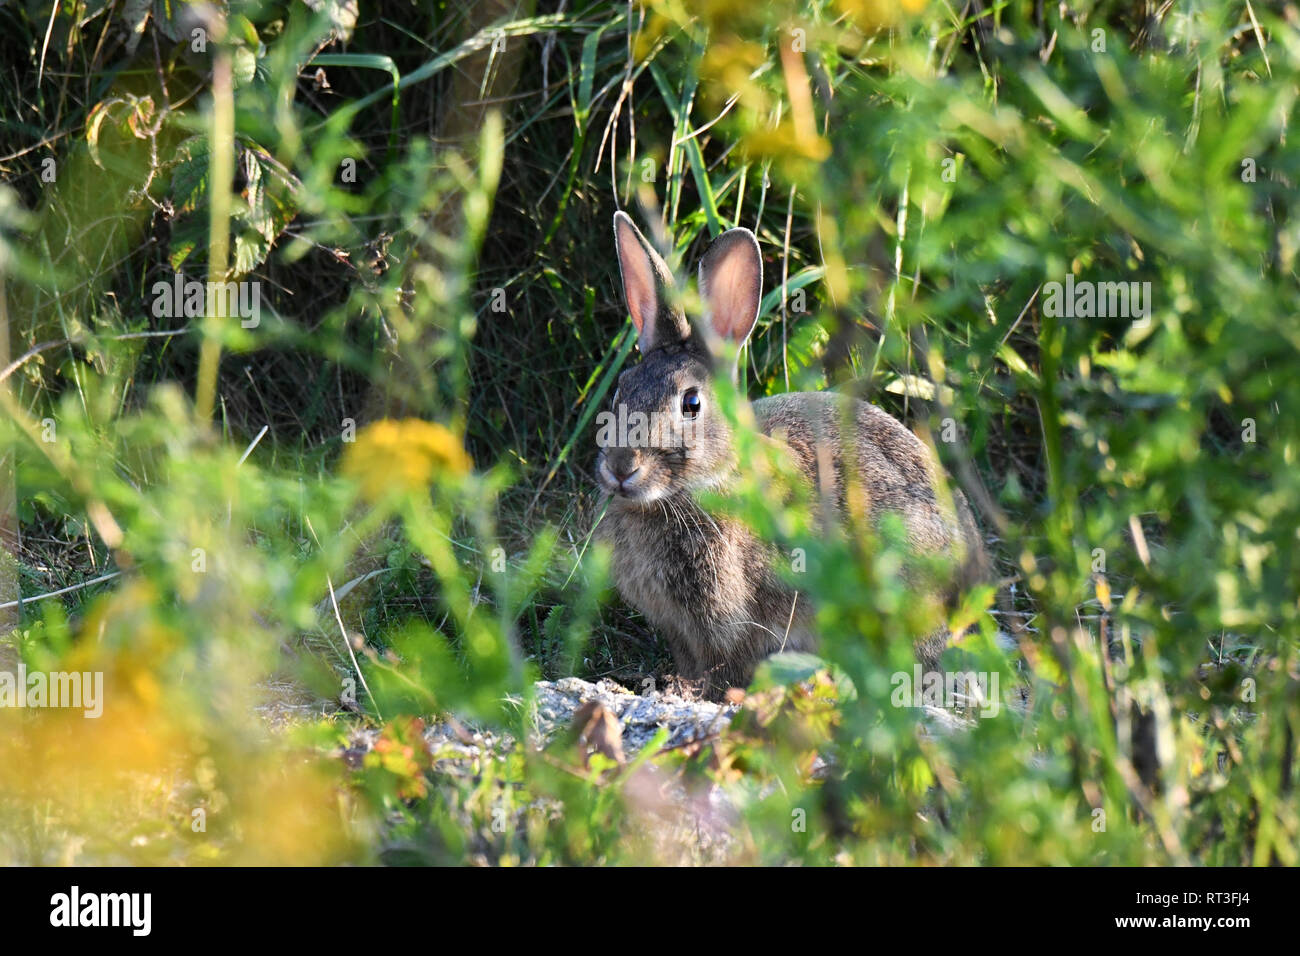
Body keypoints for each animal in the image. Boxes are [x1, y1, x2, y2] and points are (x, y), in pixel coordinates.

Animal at [595, 211, 988, 699]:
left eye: (691, 403)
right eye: (621, 390)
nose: (620, 468)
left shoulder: (734, 627)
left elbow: (723, 670)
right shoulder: (679, 629)